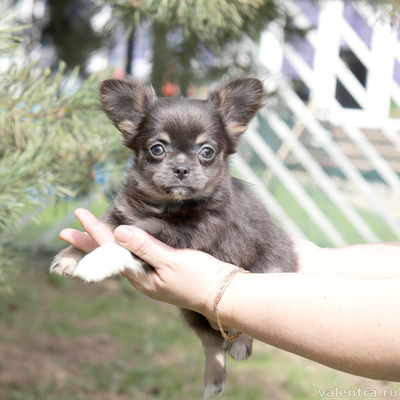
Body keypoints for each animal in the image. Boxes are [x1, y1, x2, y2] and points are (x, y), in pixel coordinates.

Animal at [50, 76, 296, 398]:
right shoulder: (121, 215)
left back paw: (241, 345)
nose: (181, 168)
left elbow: (124, 243)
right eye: (157, 149)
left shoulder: (179, 235)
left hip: (268, 273)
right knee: (212, 342)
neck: (163, 205)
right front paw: (69, 256)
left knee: (244, 325)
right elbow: (97, 231)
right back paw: (213, 381)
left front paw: (94, 262)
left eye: (207, 152)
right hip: (192, 312)